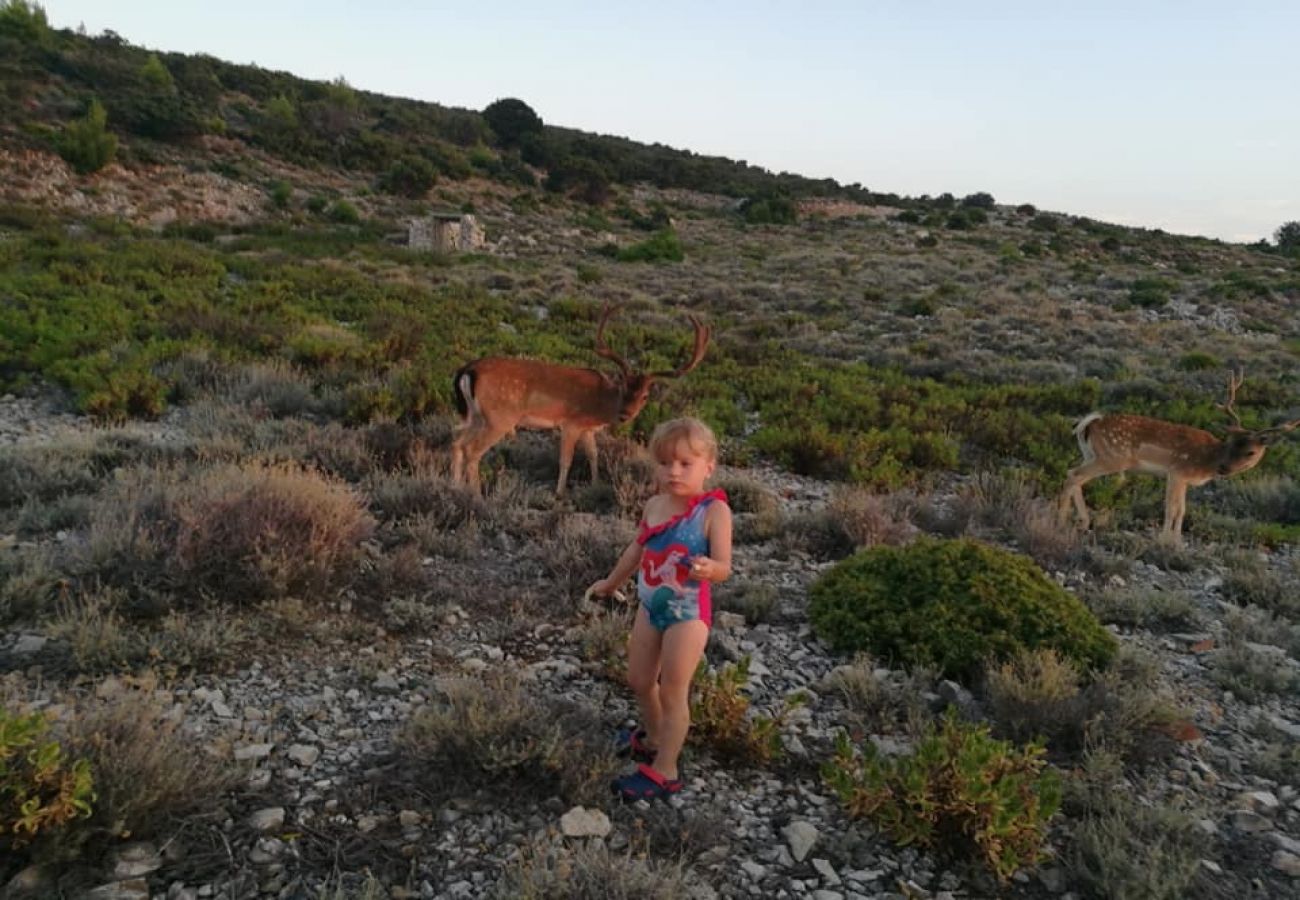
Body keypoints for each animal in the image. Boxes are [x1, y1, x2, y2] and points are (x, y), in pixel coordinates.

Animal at [447, 305, 712, 496]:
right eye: (624, 388)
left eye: (644, 395)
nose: (625, 415)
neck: (600, 404)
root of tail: (468, 371)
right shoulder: (571, 423)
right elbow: (566, 459)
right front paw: (560, 493)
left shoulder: (588, 428)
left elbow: (593, 455)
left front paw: (595, 484)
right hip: (499, 418)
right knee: (472, 450)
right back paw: (476, 494)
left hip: (476, 415)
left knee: (458, 442)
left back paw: (455, 486)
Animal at [1055, 371, 1300, 541]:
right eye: (1231, 441)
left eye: (1251, 452)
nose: (1224, 468)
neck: (1207, 460)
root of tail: (1089, 424)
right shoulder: (1177, 472)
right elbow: (1172, 508)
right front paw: (1164, 540)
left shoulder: (1184, 480)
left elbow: (1182, 510)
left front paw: (1177, 542)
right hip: (1112, 457)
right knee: (1074, 475)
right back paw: (1061, 520)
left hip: (1092, 454)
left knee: (1074, 474)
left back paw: (1081, 521)